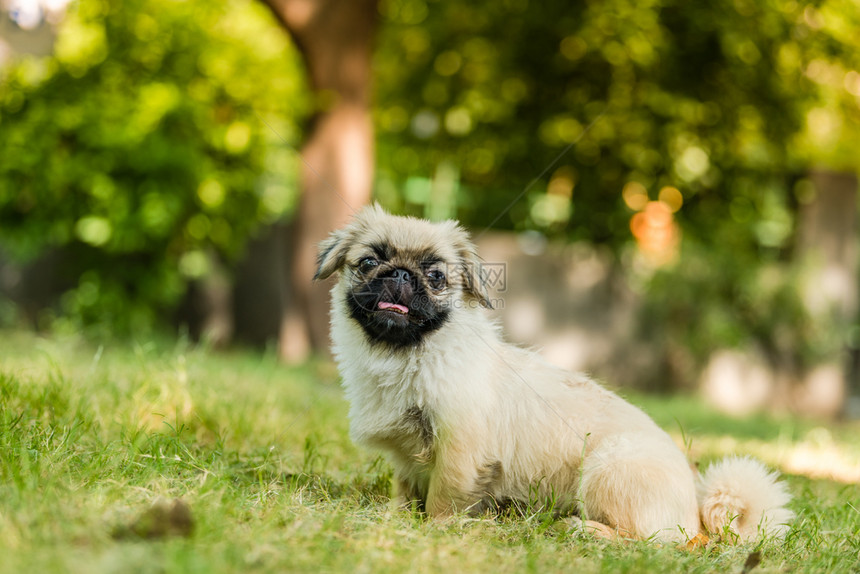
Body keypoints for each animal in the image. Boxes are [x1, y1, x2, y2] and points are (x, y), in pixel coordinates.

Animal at [314, 206, 792, 544]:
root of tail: (697, 508)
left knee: (658, 542)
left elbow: (442, 500)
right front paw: (394, 519)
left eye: (435, 276)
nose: (399, 274)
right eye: (368, 262)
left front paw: (435, 531)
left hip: (606, 469)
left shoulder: (458, 451)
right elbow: (406, 491)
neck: (404, 355)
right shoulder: (407, 458)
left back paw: (589, 532)